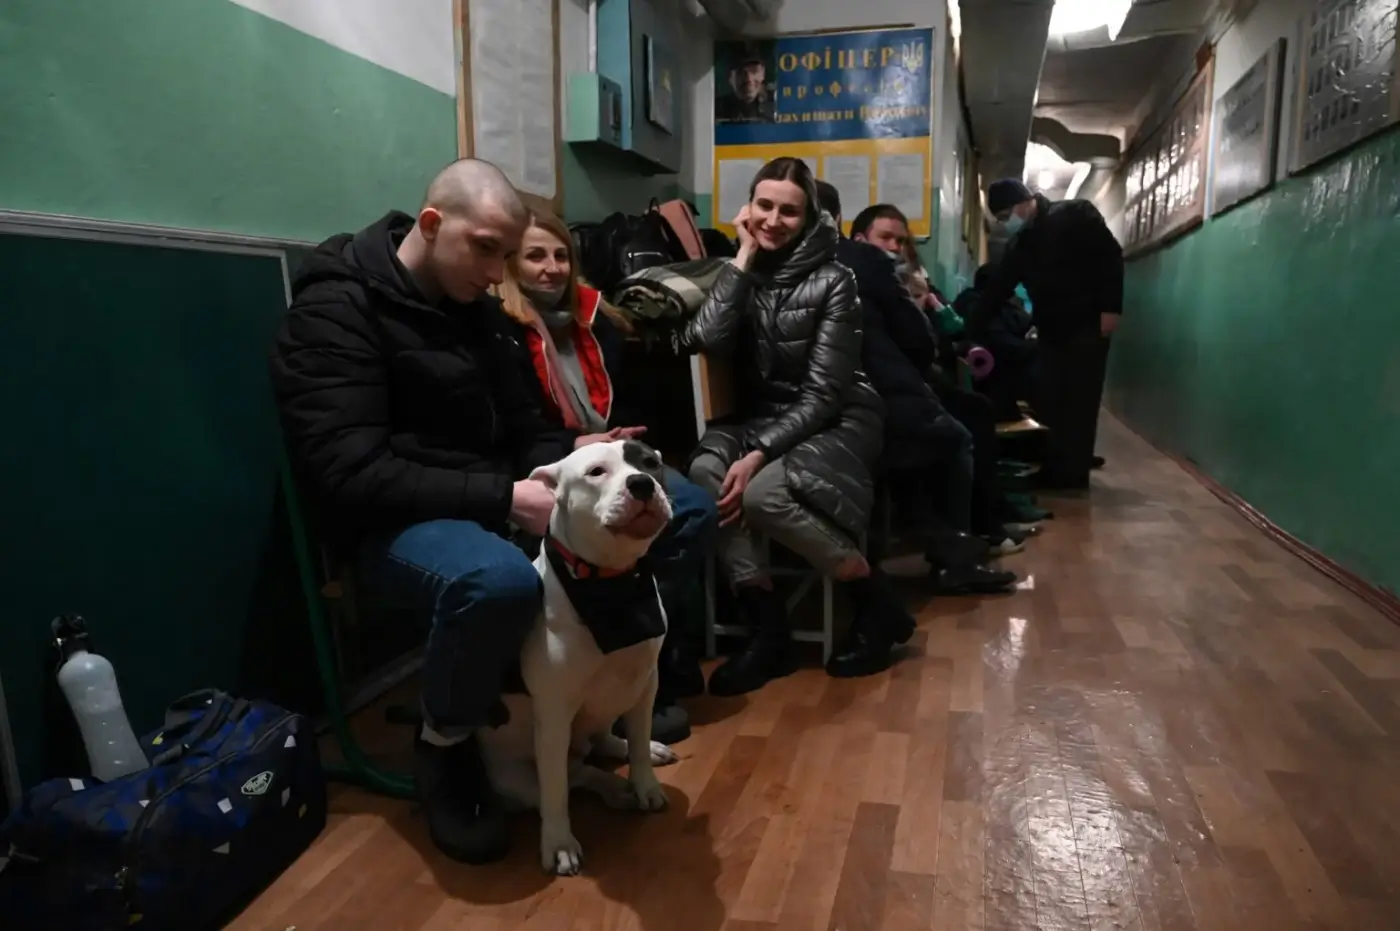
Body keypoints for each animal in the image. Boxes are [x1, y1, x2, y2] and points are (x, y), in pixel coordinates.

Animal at [476, 436, 683, 873]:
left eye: (650, 462)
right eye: (596, 472)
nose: (642, 483)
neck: (612, 583)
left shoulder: (645, 683)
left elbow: (638, 738)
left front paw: (645, 781)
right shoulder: (554, 715)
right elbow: (556, 793)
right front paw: (558, 844)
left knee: (604, 744)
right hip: (518, 778)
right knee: (577, 777)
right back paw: (612, 789)